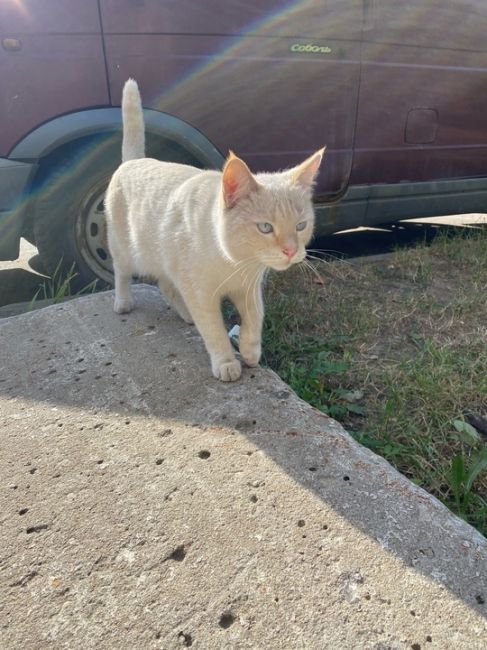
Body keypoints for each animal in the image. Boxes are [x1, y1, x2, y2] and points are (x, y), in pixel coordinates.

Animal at [105, 77, 326, 380]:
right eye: (265, 227)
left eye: (301, 225)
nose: (292, 251)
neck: (235, 262)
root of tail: (134, 161)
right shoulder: (200, 294)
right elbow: (214, 330)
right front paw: (226, 362)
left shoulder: (250, 288)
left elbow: (255, 318)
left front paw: (250, 351)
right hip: (126, 250)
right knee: (122, 273)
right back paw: (123, 302)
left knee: (165, 283)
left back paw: (185, 315)